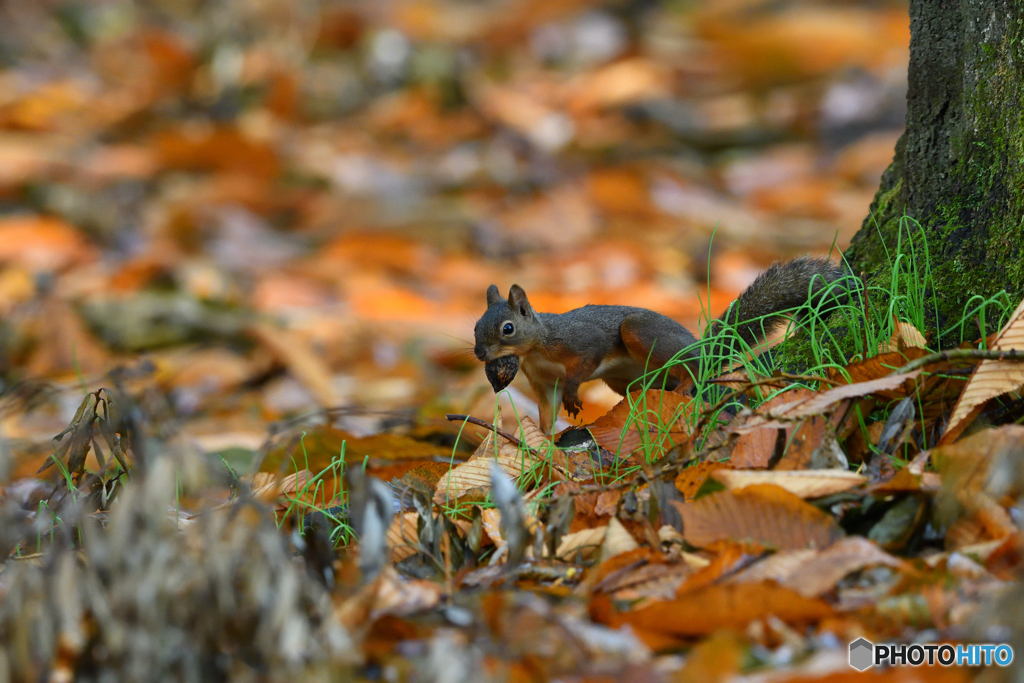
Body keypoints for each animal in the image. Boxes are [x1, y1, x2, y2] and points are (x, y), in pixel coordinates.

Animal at [471, 255, 847, 432]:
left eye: (507, 328)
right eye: (475, 326)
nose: (479, 353)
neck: (535, 348)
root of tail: (703, 349)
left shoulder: (581, 341)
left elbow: (583, 365)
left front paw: (574, 396)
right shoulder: (542, 382)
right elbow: (547, 412)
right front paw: (544, 443)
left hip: (640, 331)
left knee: (693, 370)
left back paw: (683, 386)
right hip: (627, 378)